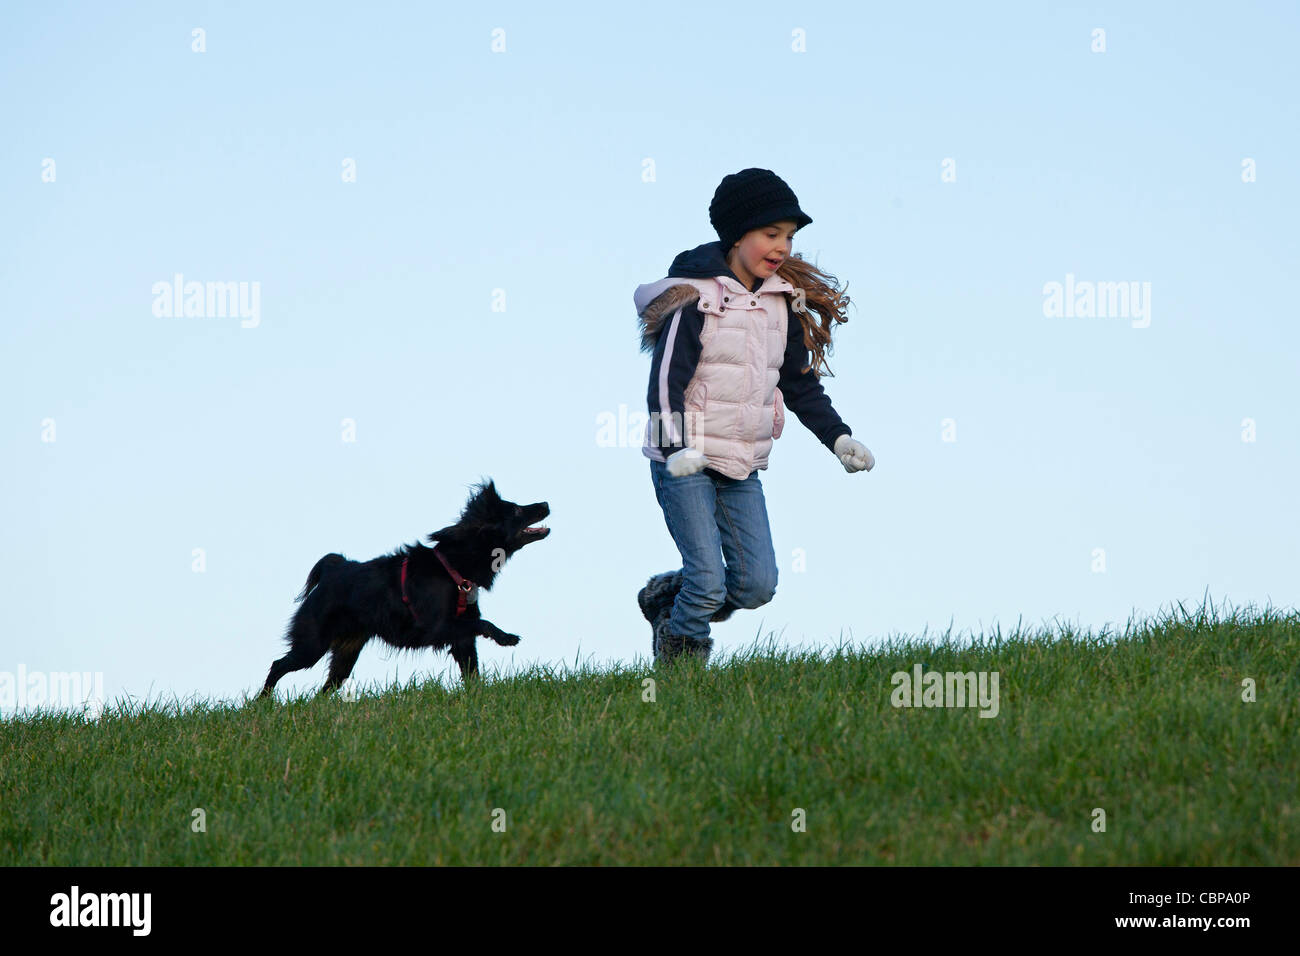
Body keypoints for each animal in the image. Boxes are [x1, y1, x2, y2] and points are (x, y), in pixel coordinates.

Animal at [258, 481, 548, 697]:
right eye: (516, 511)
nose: (546, 503)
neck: (453, 564)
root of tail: (333, 570)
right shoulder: (438, 627)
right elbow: (484, 624)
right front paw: (506, 637)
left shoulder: (462, 637)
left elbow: (472, 670)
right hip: (312, 644)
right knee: (278, 665)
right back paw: (263, 702)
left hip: (346, 653)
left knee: (327, 686)